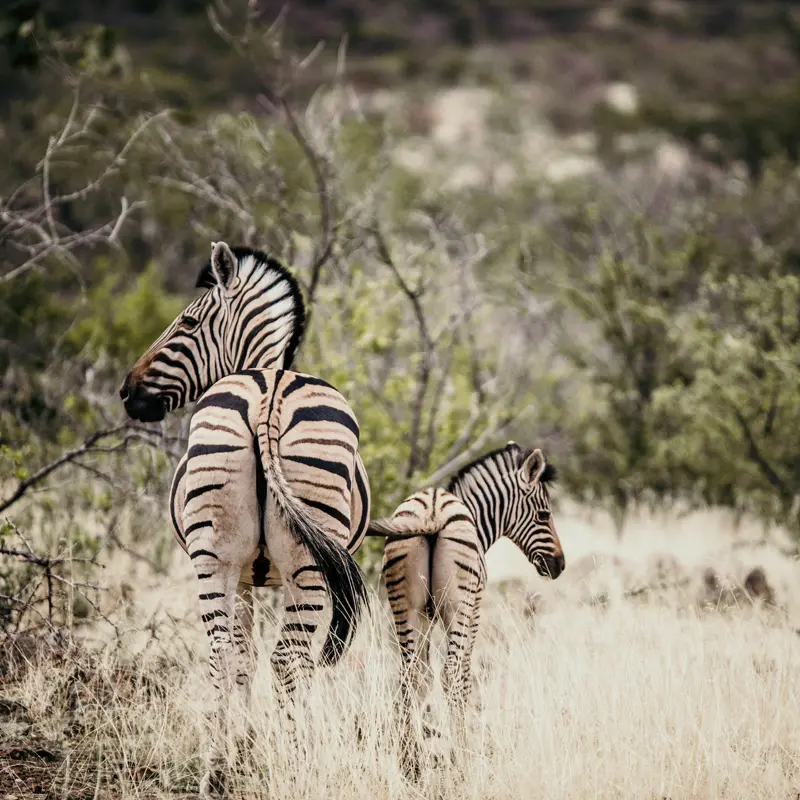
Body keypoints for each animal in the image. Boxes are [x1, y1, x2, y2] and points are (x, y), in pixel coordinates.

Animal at [120, 242, 370, 792]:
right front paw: (252, 748)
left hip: (219, 558)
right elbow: (252, 658)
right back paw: (271, 762)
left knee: (235, 655)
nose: (126, 392)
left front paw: (246, 747)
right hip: (296, 564)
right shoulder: (253, 575)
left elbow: (242, 656)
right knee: (279, 659)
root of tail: (268, 395)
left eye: (188, 322)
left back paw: (233, 765)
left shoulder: (246, 575)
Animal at [366, 440, 564, 780]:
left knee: (410, 674)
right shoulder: (474, 613)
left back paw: (409, 761)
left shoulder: (427, 617)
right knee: (450, 673)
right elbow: (465, 677)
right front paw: (461, 750)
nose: (560, 565)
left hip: (405, 606)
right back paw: (459, 759)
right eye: (544, 514)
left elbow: (423, 678)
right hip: (457, 607)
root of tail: (432, 511)